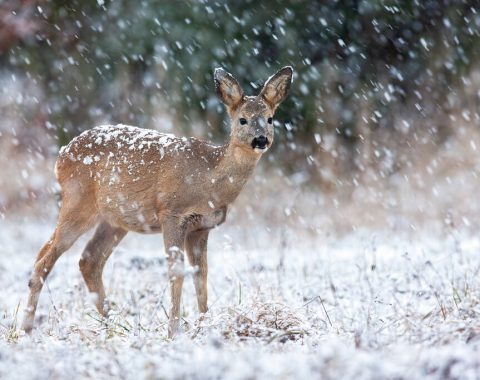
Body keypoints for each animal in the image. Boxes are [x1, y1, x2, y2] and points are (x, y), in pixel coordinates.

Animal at [21, 66, 292, 338]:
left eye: (270, 119)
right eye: (242, 120)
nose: (260, 140)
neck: (209, 179)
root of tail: (61, 155)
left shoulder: (201, 227)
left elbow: (201, 275)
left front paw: (204, 325)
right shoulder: (171, 214)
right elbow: (177, 273)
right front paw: (174, 332)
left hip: (115, 220)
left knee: (87, 260)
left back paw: (114, 324)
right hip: (78, 202)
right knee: (45, 260)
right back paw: (27, 328)